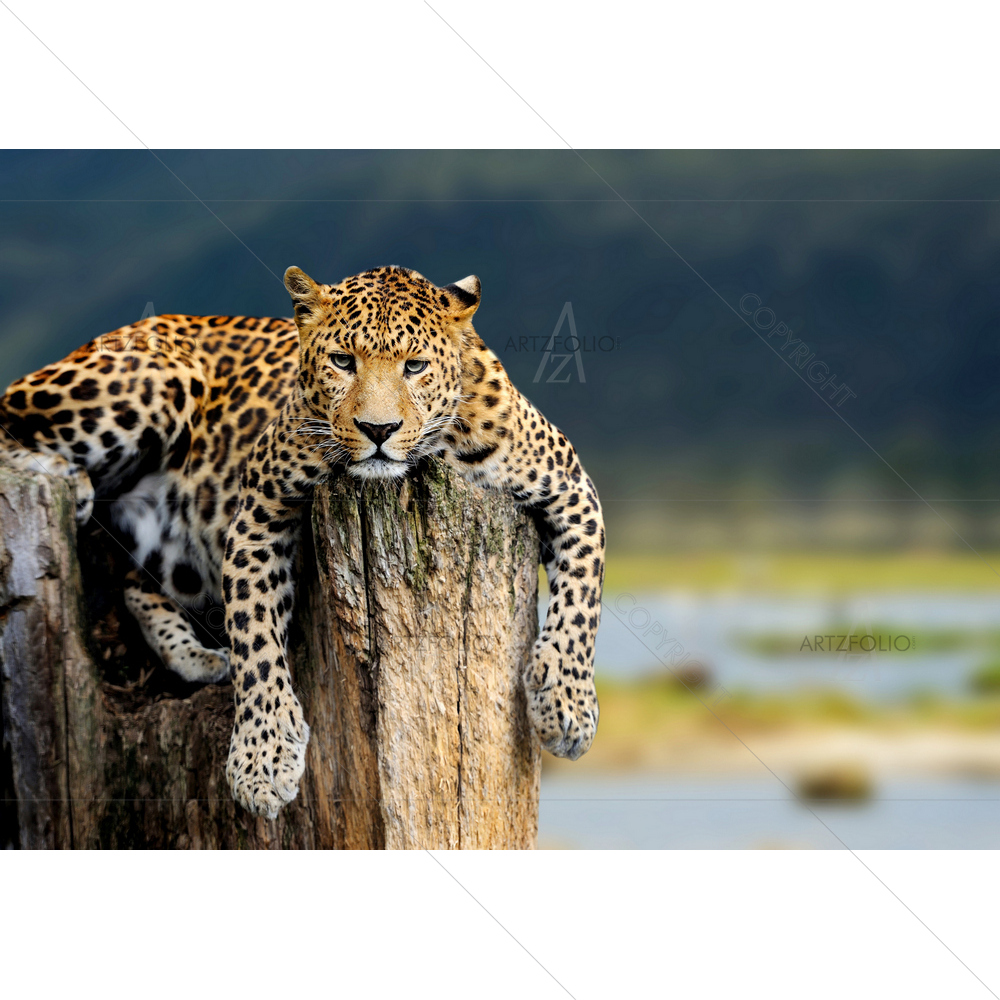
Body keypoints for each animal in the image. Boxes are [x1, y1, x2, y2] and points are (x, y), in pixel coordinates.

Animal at [0, 265, 605, 819]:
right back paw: (68, 478)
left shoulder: (572, 489)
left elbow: (582, 599)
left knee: (134, 582)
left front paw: (566, 707)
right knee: (10, 418)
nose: (378, 430)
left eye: (414, 366)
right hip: (150, 378)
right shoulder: (258, 512)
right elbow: (256, 638)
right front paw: (263, 760)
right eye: (342, 361)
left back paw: (198, 657)